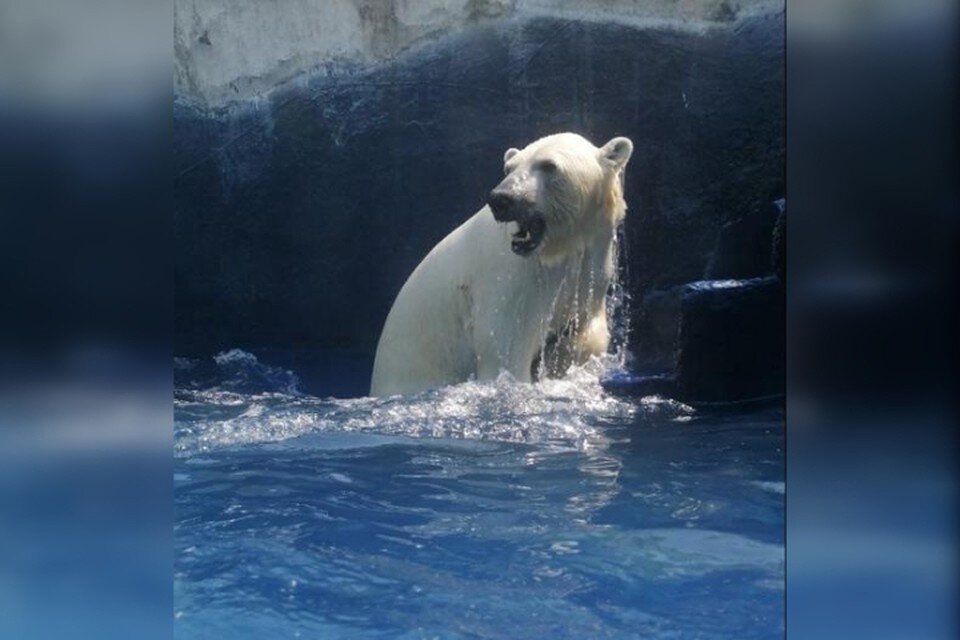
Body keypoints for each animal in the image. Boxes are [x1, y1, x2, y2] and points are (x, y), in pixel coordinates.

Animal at [372, 132, 632, 398]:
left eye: (549, 165)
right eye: (509, 167)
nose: (501, 199)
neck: (556, 251)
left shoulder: (589, 276)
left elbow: (581, 342)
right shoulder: (512, 283)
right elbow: (506, 350)